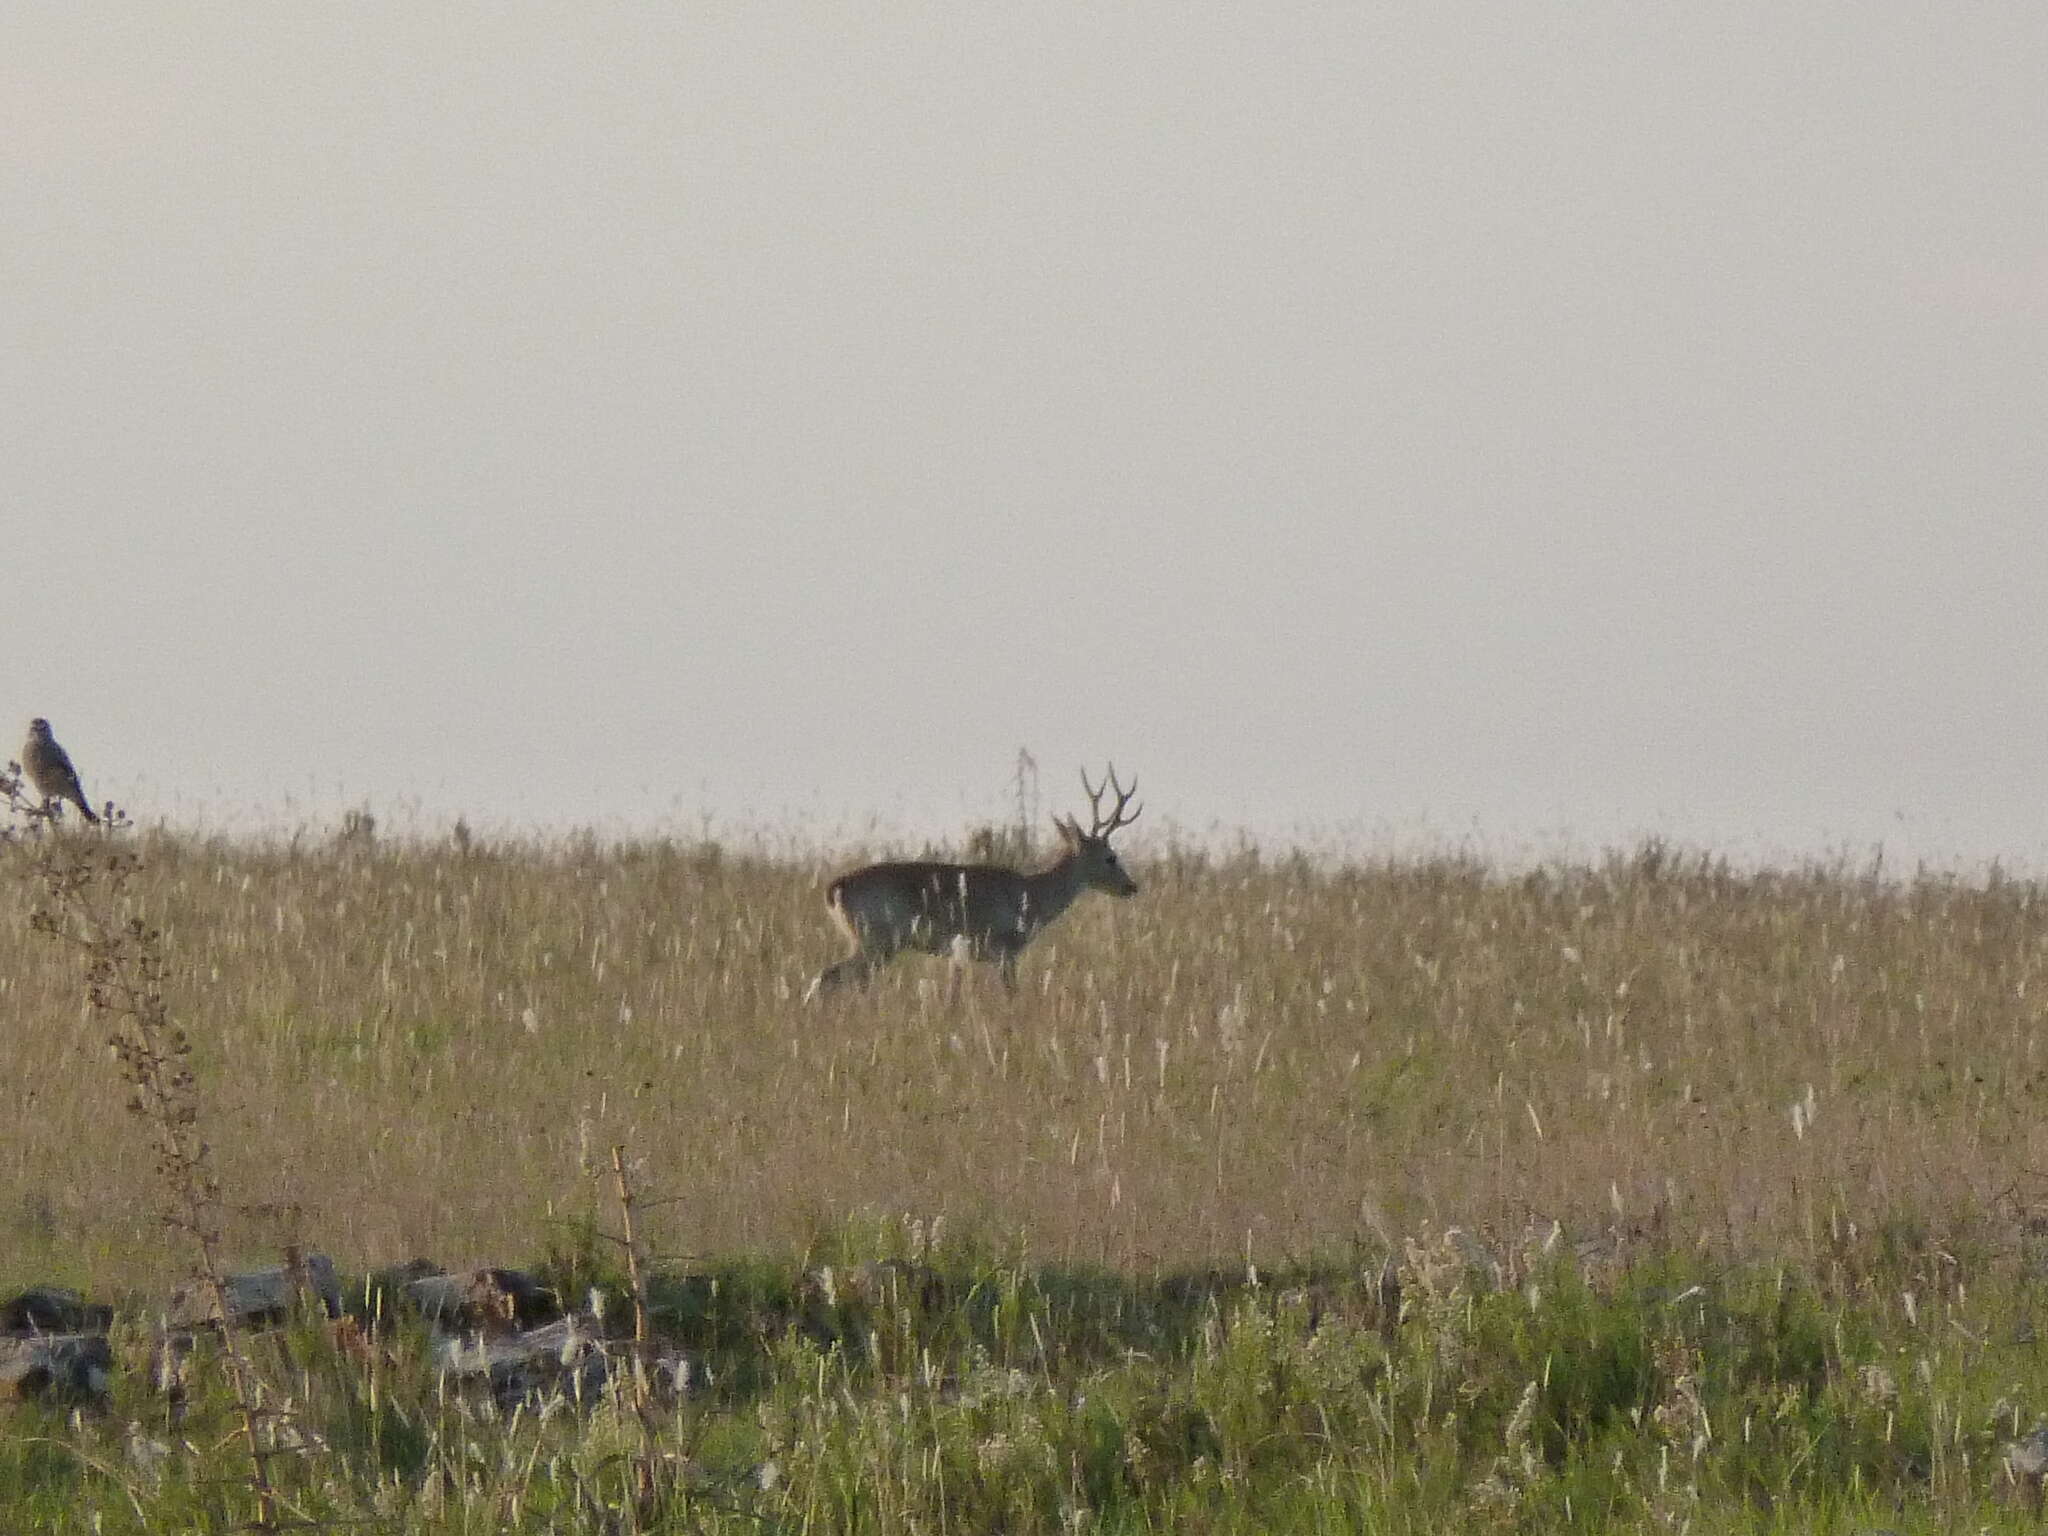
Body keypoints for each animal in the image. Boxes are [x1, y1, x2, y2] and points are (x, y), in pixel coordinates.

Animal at [798, 765, 1146, 1003]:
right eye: (1111, 857)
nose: (1131, 887)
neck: (1033, 897)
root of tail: (834, 889)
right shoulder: (1004, 948)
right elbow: (1011, 993)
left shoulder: (963, 953)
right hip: (877, 939)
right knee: (828, 977)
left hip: (872, 942)